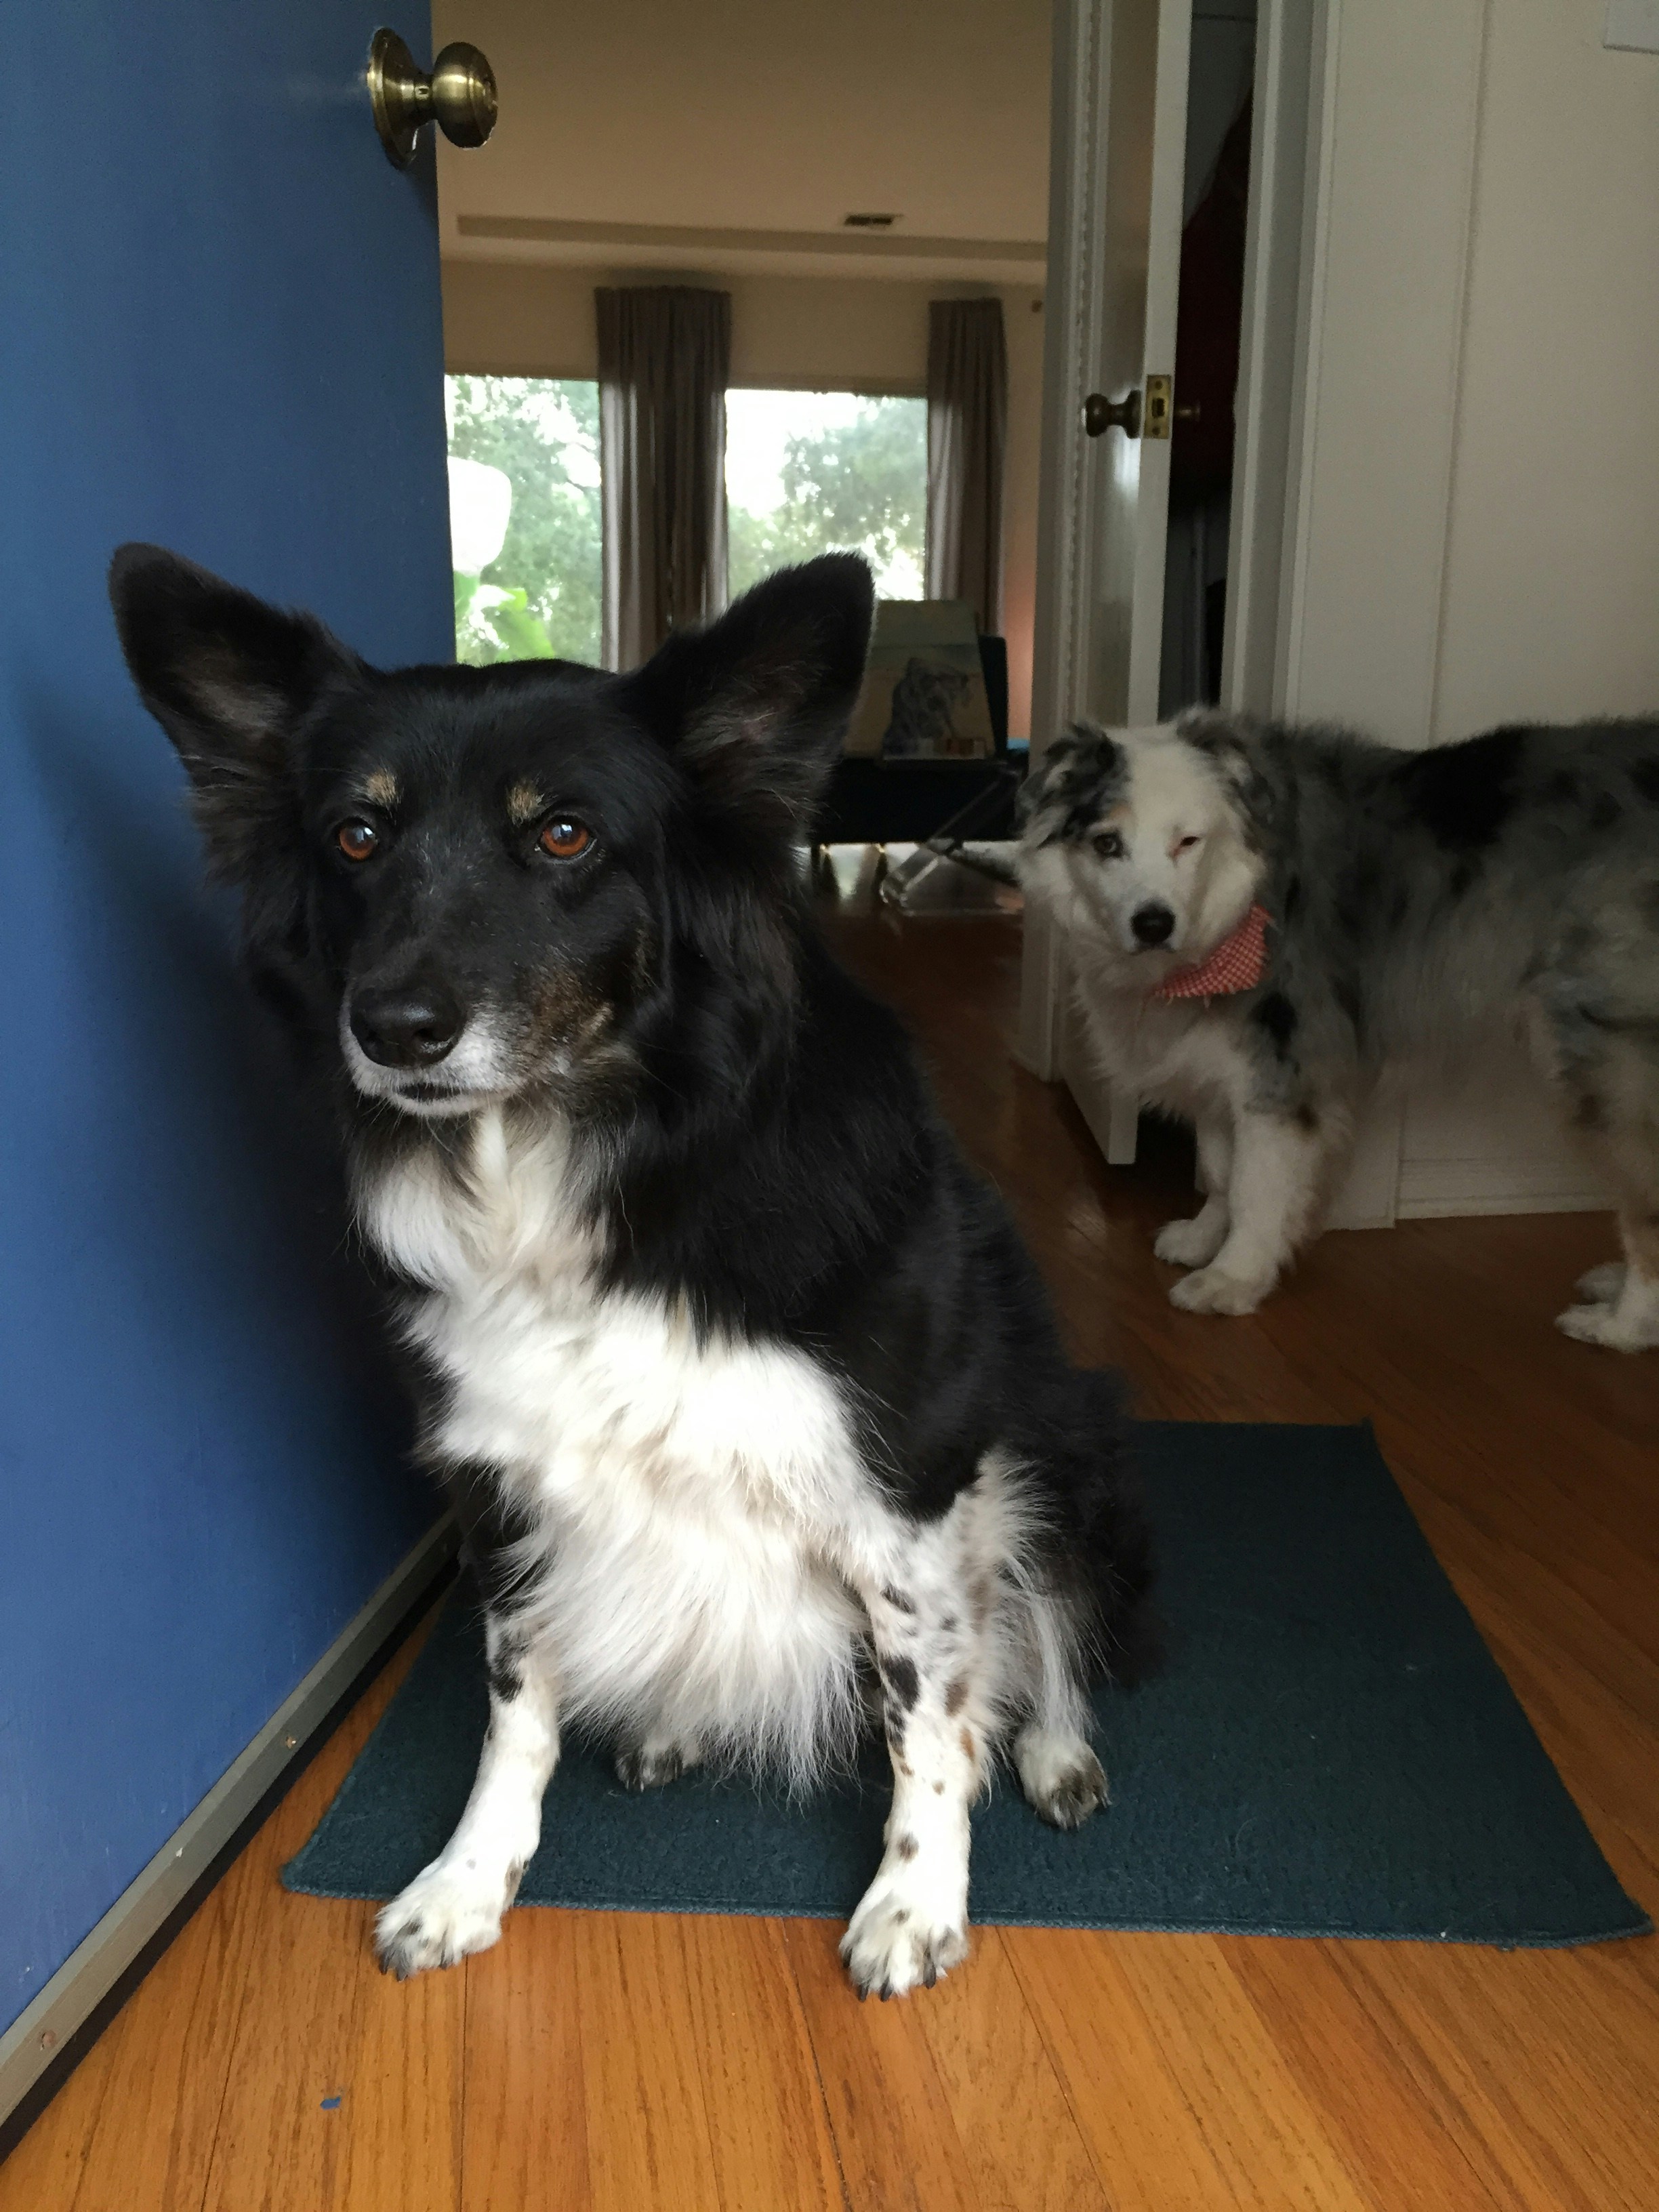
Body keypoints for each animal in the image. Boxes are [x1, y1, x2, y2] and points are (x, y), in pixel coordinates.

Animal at [110, 545, 1154, 1997]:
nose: (391, 1028)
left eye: (563, 834)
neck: (590, 1170)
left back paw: (1055, 1748)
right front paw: (466, 1878)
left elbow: (929, 1718)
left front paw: (913, 1896)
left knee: (1043, 1619)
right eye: (355, 836)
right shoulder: (500, 1481)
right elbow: (514, 1704)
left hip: (1060, 1431)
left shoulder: (907, 1480)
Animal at [1019, 711, 1659, 1351]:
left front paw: (1233, 1278)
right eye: (1107, 844)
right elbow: (1221, 1169)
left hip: (1602, 1053)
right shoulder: (1224, 1064)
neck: (1236, 902)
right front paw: (1202, 1240)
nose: (1153, 924)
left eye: (1188, 841)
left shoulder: (1282, 1067)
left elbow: (1255, 1186)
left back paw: (1622, 1325)